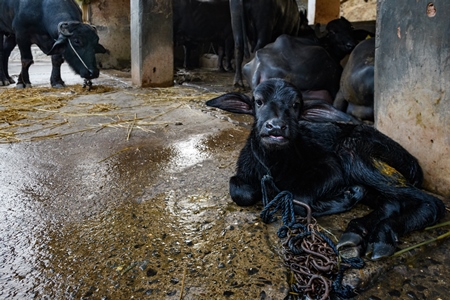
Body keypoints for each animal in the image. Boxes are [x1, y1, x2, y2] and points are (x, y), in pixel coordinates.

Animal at [206, 79, 444, 260]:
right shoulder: (244, 172)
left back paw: (382, 237)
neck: (276, 165)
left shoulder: (331, 167)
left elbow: (298, 199)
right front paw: (349, 195)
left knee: (431, 203)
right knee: (391, 202)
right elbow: (241, 192)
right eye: (258, 101)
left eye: (295, 104)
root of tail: (412, 162)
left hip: (355, 153)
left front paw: (343, 198)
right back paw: (356, 232)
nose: (276, 127)